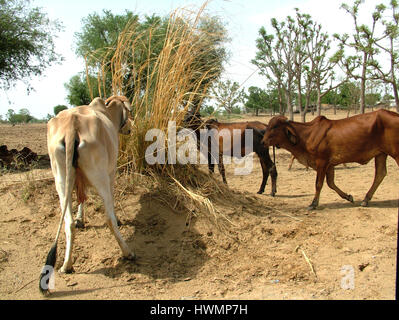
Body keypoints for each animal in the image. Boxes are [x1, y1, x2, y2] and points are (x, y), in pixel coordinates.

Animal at [40, 95, 136, 296]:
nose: (130, 127)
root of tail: (71, 126)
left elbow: (81, 198)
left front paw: (80, 219)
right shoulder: (111, 172)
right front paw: (118, 218)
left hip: (60, 179)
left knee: (67, 222)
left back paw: (66, 265)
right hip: (100, 176)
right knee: (108, 219)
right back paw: (127, 252)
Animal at [260, 109, 399, 210]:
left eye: (275, 126)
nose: (263, 142)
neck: (306, 135)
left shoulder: (321, 162)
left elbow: (318, 184)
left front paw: (313, 204)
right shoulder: (330, 165)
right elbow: (331, 183)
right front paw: (348, 197)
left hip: (395, 153)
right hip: (381, 154)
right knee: (380, 174)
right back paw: (365, 200)